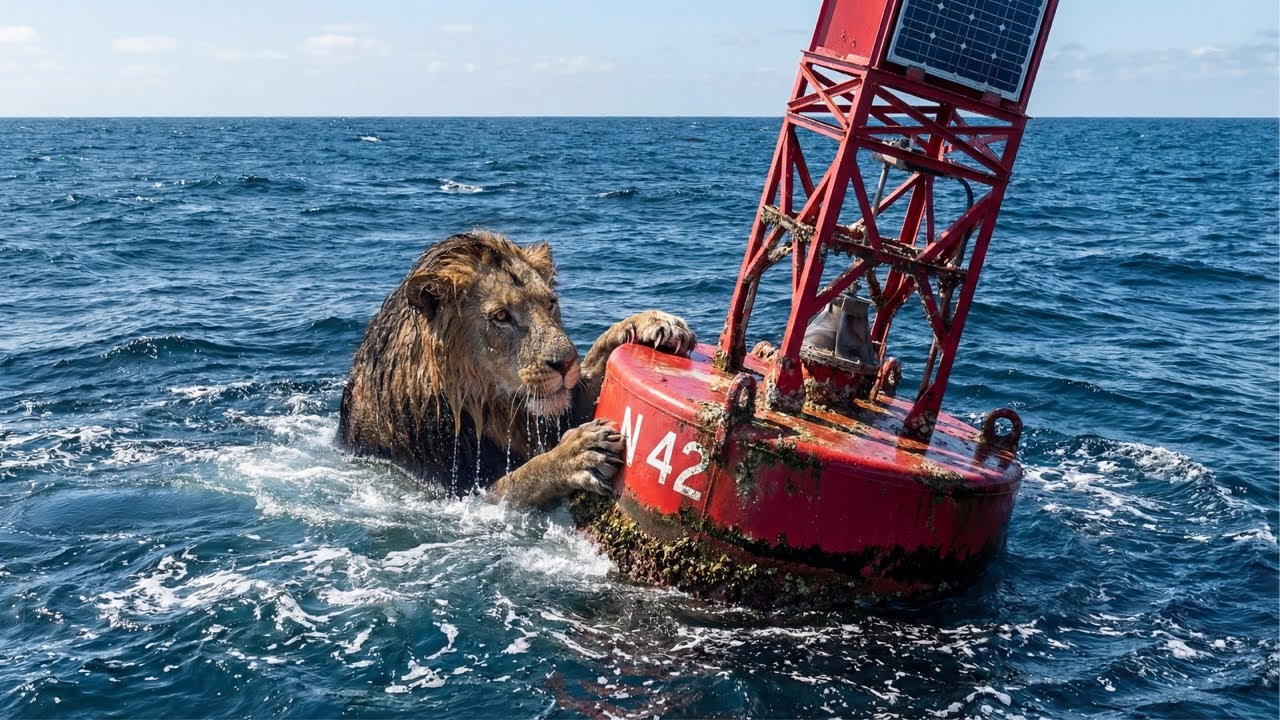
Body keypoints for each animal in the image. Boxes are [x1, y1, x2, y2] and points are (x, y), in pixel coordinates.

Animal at [337, 230, 696, 507]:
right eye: (500, 316)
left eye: (550, 303)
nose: (566, 363)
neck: (484, 404)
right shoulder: (454, 489)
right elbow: (521, 479)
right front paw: (575, 453)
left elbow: (594, 364)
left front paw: (654, 323)